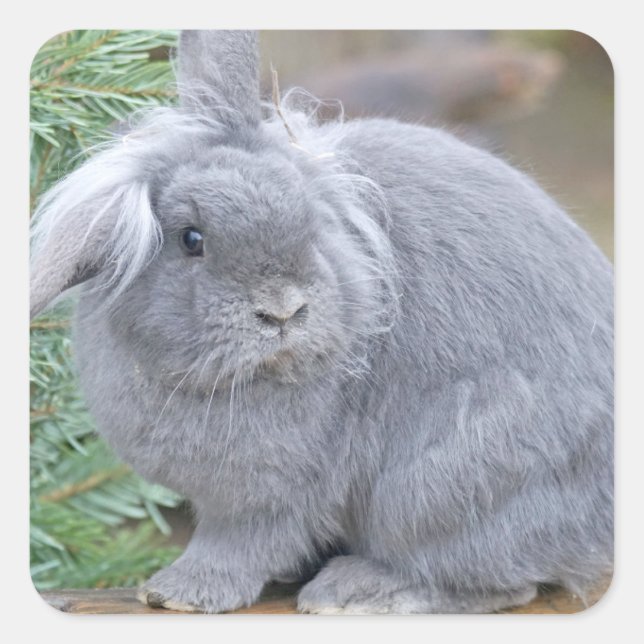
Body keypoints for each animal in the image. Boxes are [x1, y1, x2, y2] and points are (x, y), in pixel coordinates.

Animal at [29, 30, 613, 614]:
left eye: (310, 222)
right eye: (191, 239)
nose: (283, 310)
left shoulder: (267, 497)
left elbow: (239, 545)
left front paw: (179, 593)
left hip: (442, 487)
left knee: (498, 583)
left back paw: (355, 591)